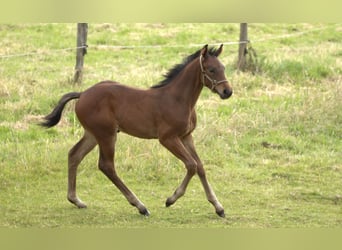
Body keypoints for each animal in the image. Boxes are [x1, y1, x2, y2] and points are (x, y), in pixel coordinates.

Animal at [40, 44, 232, 217]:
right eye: (211, 70)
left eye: (223, 68)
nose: (227, 92)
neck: (178, 99)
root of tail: (82, 94)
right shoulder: (168, 138)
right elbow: (191, 165)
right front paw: (171, 199)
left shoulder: (186, 136)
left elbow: (200, 166)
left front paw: (218, 207)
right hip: (106, 134)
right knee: (106, 165)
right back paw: (140, 206)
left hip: (93, 134)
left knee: (74, 155)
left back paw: (76, 200)